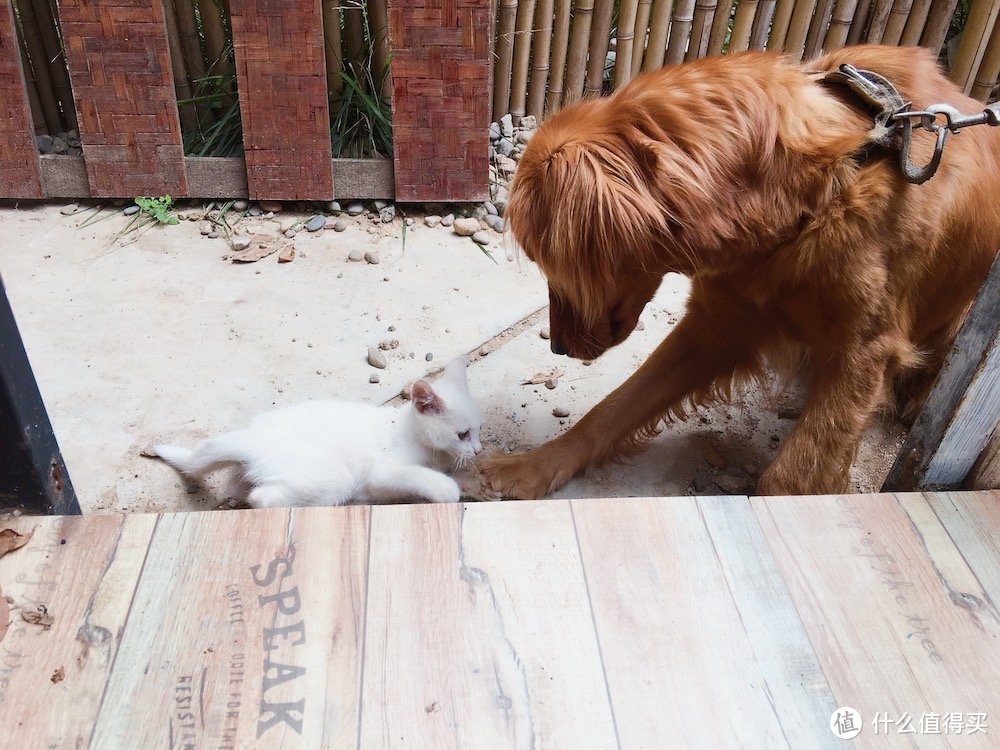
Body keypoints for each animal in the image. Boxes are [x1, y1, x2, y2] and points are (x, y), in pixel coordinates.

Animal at [154, 356, 482, 508]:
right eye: (462, 434)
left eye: (479, 430)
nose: (478, 450)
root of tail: (254, 438)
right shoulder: (383, 472)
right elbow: (416, 476)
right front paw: (447, 489)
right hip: (334, 478)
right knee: (261, 497)